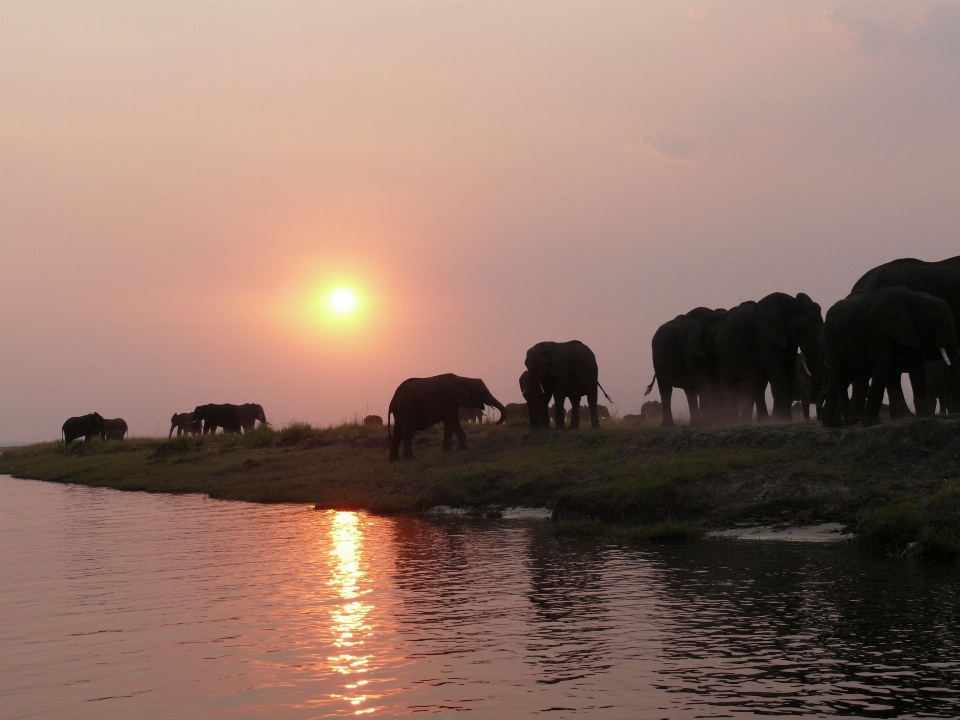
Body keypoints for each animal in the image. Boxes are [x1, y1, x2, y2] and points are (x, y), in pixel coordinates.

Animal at [712, 294, 824, 424]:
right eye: (801, 327)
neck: (791, 304)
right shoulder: (765, 335)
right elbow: (775, 367)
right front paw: (780, 419)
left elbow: (789, 367)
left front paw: (786, 419)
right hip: (721, 351)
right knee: (731, 382)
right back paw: (733, 421)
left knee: (758, 382)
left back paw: (762, 420)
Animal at [816, 284, 960, 424]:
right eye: (940, 323)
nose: (955, 412)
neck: (915, 298)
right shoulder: (878, 330)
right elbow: (882, 363)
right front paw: (872, 423)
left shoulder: (911, 330)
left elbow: (917, 366)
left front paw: (925, 416)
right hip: (829, 339)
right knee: (842, 374)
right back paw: (853, 420)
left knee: (846, 376)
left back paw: (833, 423)